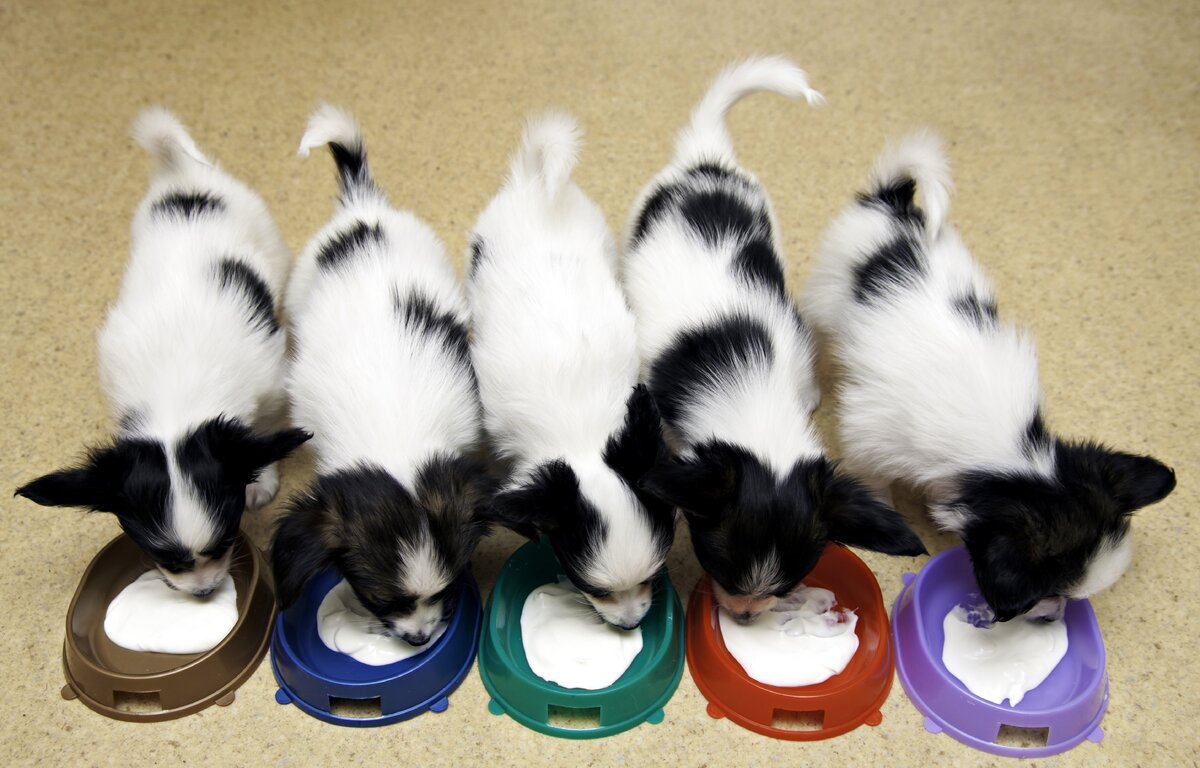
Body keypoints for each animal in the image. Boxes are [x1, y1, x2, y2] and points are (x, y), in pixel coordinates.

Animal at [15, 107, 309, 596]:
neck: (178, 400)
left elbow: (262, 431)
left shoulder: (269, 384)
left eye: (227, 539)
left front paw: (260, 481)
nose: (204, 591)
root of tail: (181, 174)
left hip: (272, 245)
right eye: (162, 557)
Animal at [802, 130, 1176, 621]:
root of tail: (891, 203)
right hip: (826, 293)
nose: (1053, 613)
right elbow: (876, 477)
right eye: (1046, 591)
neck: (1013, 457)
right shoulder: (873, 437)